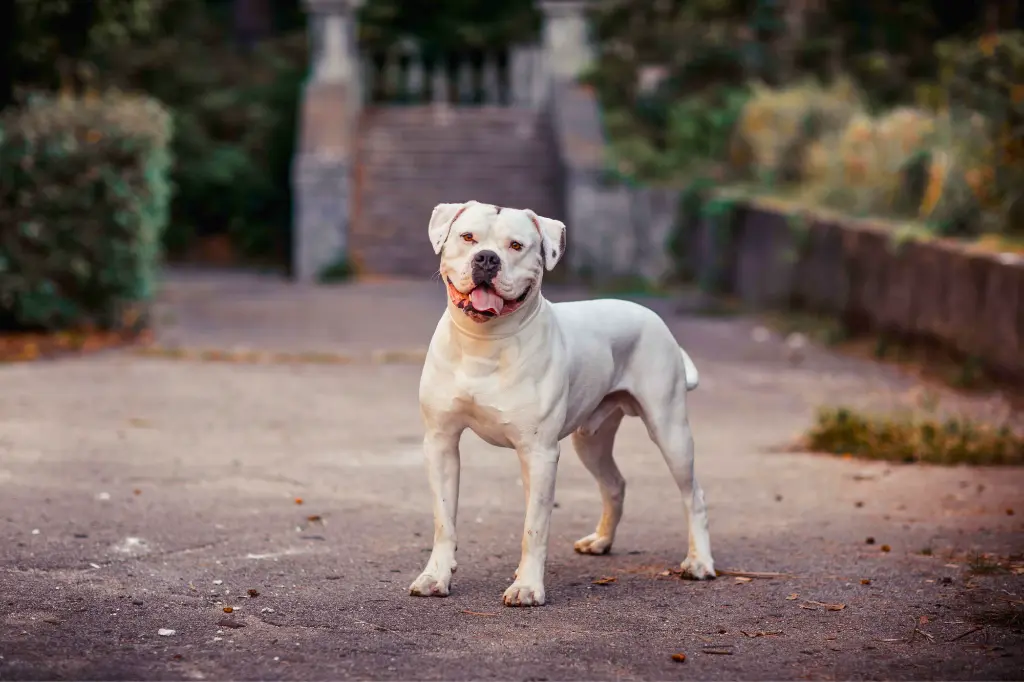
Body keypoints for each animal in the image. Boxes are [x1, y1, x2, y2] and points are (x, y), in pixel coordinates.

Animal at [407, 199, 712, 602]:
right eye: (468, 237)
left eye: (516, 246)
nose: (487, 258)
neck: (483, 343)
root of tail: (653, 317)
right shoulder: (441, 442)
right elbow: (444, 521)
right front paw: (435, 576)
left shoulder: (539, 453)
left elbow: (534, 528)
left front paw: (526, 586)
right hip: (592, 440)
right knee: (614, 484)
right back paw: (600, 541)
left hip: (670, 430)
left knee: (693, 495)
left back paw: (700, 562)